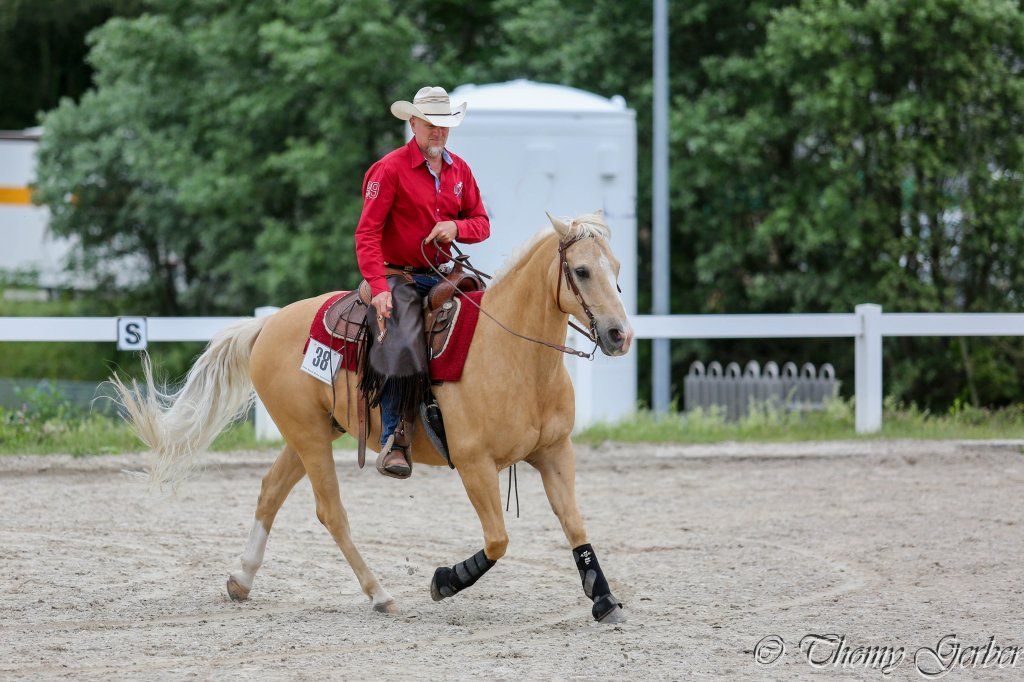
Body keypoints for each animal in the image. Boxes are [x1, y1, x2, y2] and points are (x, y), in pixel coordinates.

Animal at [111, 210, 634, 623]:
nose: (618, 335)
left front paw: (603, 599)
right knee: (330, 512)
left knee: (270, 491)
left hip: (313, 433)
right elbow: (498, 540)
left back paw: (241, 579)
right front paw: (445, 580)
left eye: (616, 269)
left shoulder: (555, 453)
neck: (510, 354)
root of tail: (267, 324)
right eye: (581, 270)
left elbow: (575, 524)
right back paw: (379, 594)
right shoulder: (475, 465)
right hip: (309, 436)